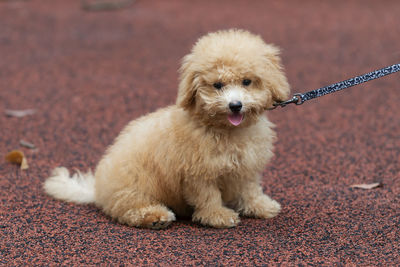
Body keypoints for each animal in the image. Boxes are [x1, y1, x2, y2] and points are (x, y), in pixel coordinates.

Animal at [43, 29, 290, 230]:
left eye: (247, 81)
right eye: (217, 85)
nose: (235, 105)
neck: (225, 130)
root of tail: (97, 190)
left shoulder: (247, 167)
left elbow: (250, 190)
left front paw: (260, 206)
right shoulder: (198, 173)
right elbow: (208, 196)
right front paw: (218, 216)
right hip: (136, 185)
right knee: (131, 209)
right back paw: (156, 217)